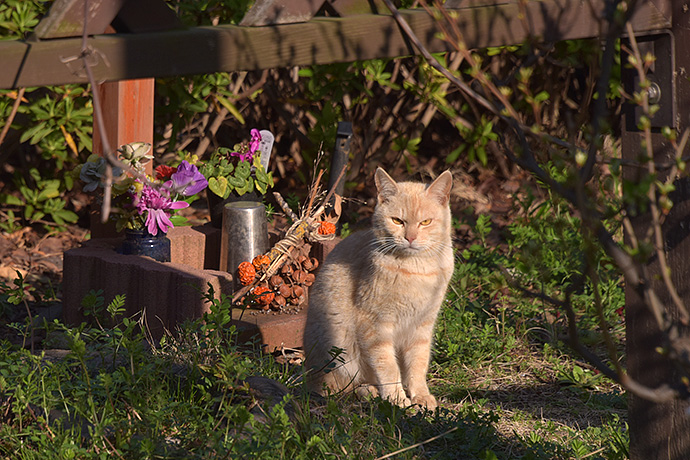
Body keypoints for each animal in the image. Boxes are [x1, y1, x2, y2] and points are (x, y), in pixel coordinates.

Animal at [304, 166, 454, 410]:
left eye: (425, 222)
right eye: (397, 221)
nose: (410, 237)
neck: (416, 270)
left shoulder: (422, 327)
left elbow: (418, 364)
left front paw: (421, 396)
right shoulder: (375, 326)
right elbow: (388, 366)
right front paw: (397, 398)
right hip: (338, 349)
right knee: (338, 388)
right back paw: (370, 392)